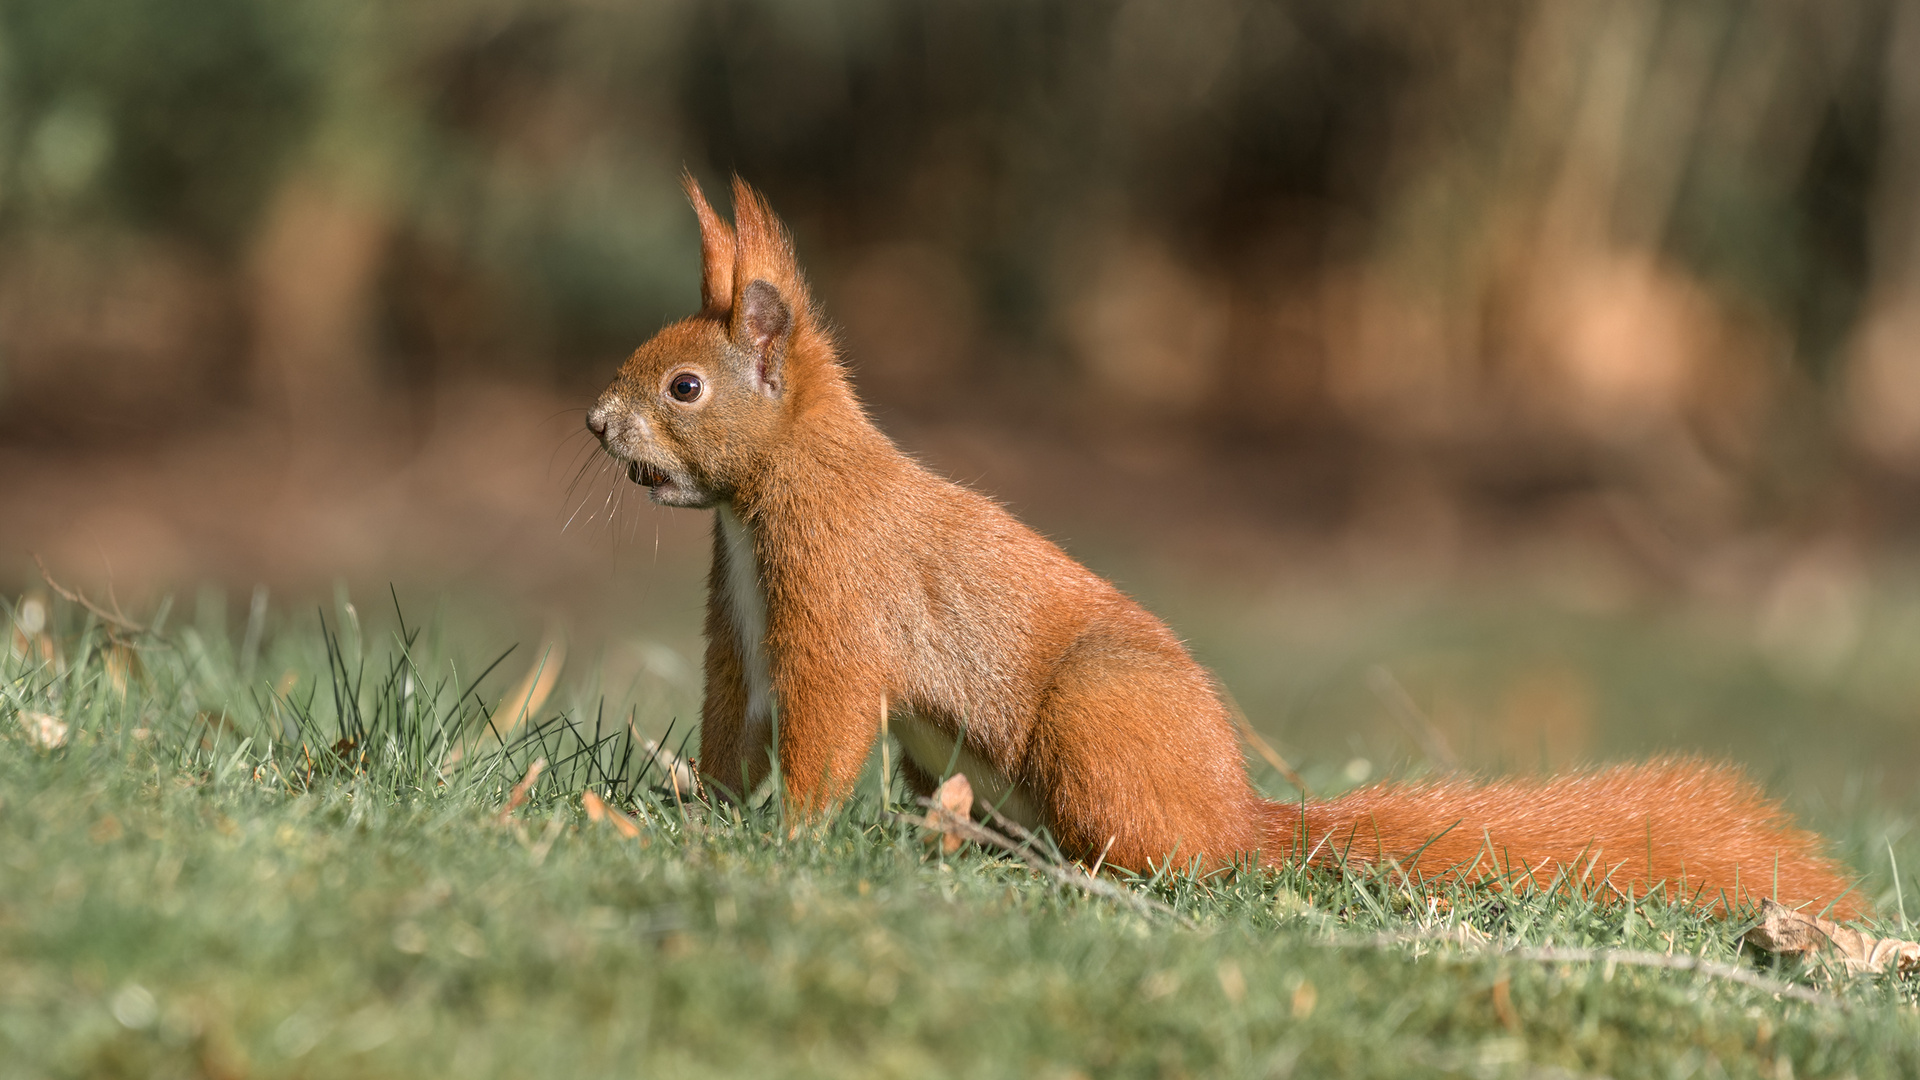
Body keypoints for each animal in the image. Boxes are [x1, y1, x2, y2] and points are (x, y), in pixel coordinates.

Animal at [583, 176, 1858, 914]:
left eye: (685, 386)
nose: (595, 424)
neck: (772, 493)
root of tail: (1238, 808)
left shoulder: (837, 603)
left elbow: (824, 729)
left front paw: (787, 841)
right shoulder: (741, 631)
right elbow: (732, 724)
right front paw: (699, 810)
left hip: (1095, 721)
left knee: (1175, 862)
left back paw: (1069, 868)